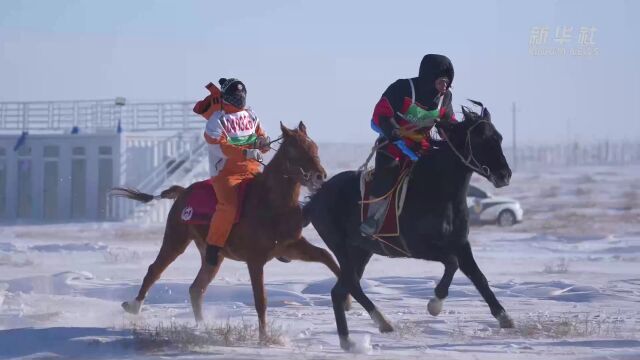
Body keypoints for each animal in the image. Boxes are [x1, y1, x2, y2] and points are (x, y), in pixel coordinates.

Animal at [112, 122, 348, 338]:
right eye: (293, 149)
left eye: (314, 146)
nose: (319, 176)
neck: (270, 203)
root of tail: (183, 192)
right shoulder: (255, 260)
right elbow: (260, 300)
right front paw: (264, 338)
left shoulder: (290, 247)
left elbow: (325, 255)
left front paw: (346, 301)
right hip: (175, 240)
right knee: (155, 271)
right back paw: (134, 306)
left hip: (212, 257)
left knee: (196, 289)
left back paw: (202, 327)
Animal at [304, 102, 516, 350]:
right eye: (481, 139)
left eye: (498, 137)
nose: (504, 175)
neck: (437, 189)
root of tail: (315, 199)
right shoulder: (419, 247)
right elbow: (452, 263)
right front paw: (435, 304)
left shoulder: (461, 244)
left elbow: (478, 276)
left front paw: (504, 316)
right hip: (341, 248)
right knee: (346, 287)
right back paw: (356, 336)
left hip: (360, 251)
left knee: (343, 289)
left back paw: (372, 328)